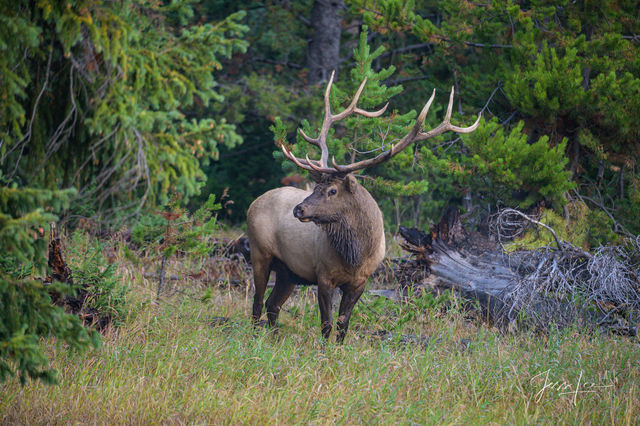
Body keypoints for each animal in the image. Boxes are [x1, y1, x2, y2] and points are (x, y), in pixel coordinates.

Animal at [246, 70, 480, 342]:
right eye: (315, 188)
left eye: (332, 190)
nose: (298, 209)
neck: (355, 256)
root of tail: (254, 202)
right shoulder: (323, 276)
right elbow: (326, 324)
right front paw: (323, 349)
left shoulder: (361, 281)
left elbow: (343, 324)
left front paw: (338, 348)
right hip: (259, 252)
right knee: (257, 303)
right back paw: (254, 338)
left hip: (288, 272)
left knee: (272, 305)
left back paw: (273, 338)